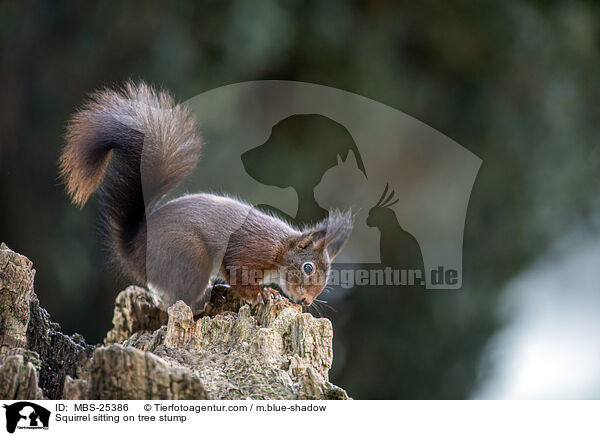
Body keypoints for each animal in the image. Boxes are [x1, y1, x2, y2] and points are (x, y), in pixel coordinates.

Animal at [59, 82, 354, 312]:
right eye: (308, 268)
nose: (305, 301)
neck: (280, 249)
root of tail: (133, 250)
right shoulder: (249, 250)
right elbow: (237, 272)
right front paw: (260, 294)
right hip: (188, 255)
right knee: (178, 302)